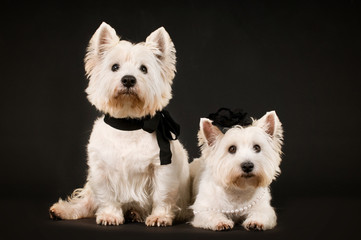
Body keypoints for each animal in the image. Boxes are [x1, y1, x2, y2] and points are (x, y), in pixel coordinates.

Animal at [49, 22, 190, 227]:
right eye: (114, 67)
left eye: (144, 69)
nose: (128, 79)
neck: (127, 124)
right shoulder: (101, 170)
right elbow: (106, 195)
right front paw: (109, 215)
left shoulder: (162, 168)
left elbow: (161, 194)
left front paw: (159, 217)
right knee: (87, 202)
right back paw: (63, 211)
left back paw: (135, 213)